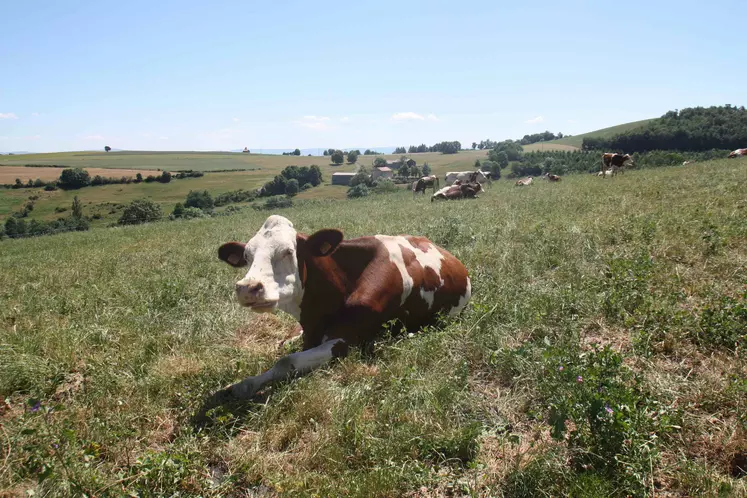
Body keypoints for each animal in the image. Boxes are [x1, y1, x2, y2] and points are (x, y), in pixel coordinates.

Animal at [219, 216, 470, 398]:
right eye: (247, 256)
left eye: (288, 251)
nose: (248, 287)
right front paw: (241, 386)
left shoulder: (350, 340)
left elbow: (287, 361)